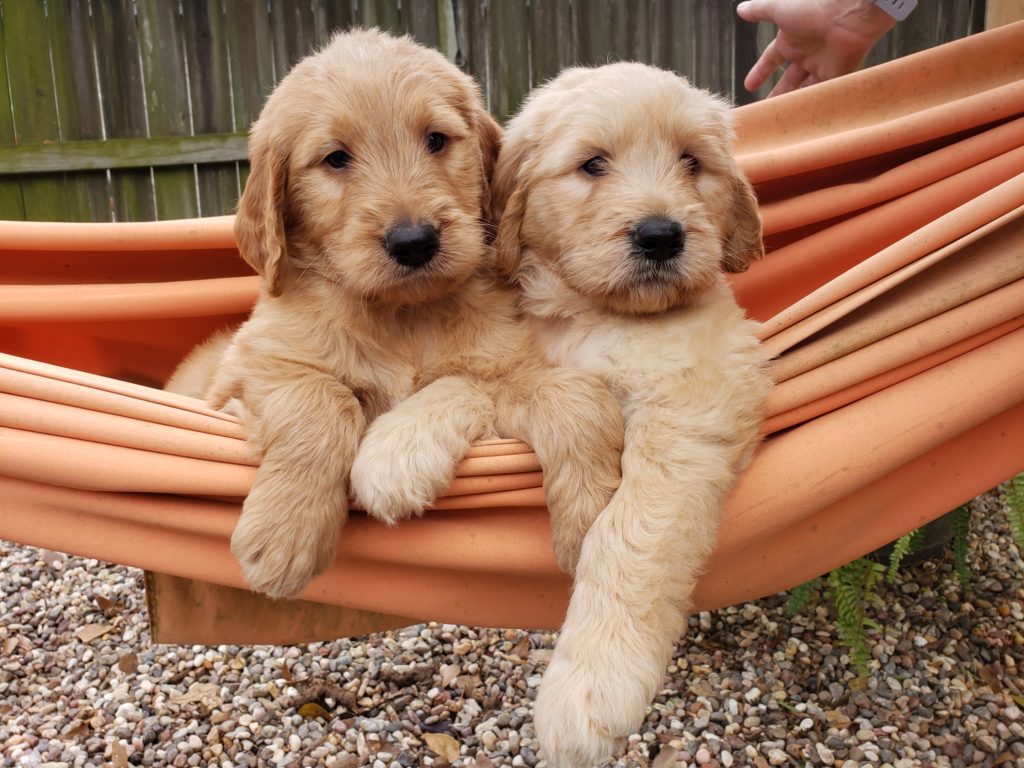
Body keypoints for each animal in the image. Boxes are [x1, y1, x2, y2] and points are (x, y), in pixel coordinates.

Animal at [165, 30, 622, 602]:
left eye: (436, 140)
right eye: (336, 158)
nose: (414, 242)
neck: (403, 316)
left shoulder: (507, 365)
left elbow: (568, 396)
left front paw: (592, 524)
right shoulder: (253, 368)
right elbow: (323, 399)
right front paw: (286, 532)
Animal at [491, 61, 770, 768]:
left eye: (692, 161)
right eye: (593, 164)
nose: (661, 236)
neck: (600, 315)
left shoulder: (692, 403)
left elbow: (626, 536)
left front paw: (591, 685)